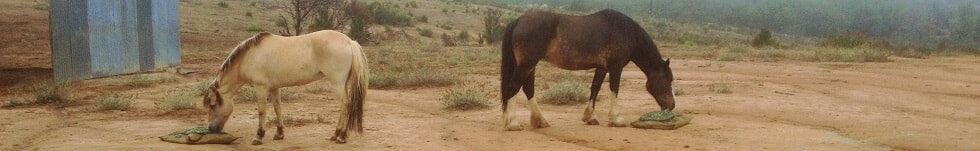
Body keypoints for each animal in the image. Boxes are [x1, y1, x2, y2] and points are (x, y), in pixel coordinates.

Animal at [201, 30, 370, 145]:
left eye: (213, 105)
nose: (210, 128)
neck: (249, 57)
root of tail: (349, 41)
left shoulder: (261, 88)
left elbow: (262, 111)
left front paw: (259, 136)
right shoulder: (274, 88)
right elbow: (278, 109)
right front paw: (279, 133)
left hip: (337, 84)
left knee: (345, 104)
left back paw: (341, 136)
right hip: (343, 84)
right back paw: (337, 134)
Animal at [498, 8, 672, 130]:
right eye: (668, 79)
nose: (671, 106)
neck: (625, 31)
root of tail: (518, 21)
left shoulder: (602, 68)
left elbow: (595, 88)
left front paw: (590, 117)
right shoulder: (616, 67)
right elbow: (614, 90)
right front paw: (616, 119)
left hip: (530, 66)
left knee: (528, 89)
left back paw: (540, 121)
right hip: (527, 64)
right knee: (514, 87)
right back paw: (513, 123)